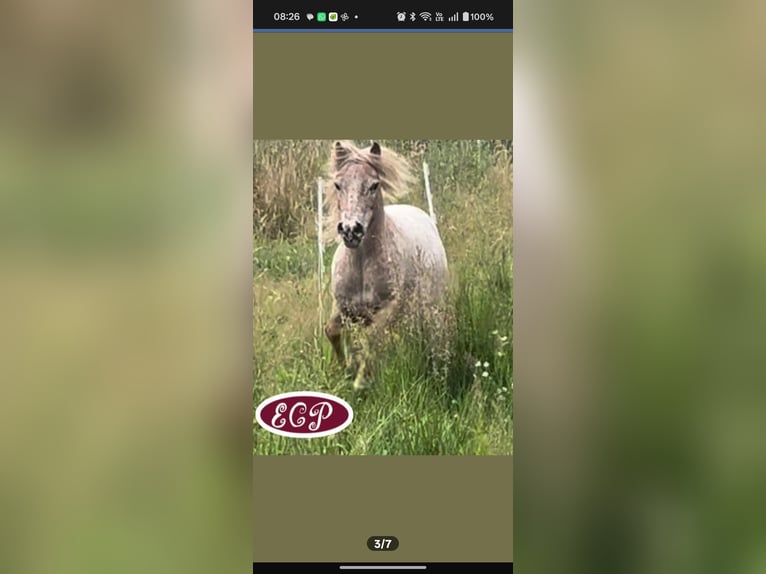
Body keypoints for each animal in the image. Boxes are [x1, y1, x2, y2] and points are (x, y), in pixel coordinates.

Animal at [323, 140, 449, 390]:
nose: (351, 230)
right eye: (338, 185)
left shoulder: (387, 309)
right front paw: (345, 371)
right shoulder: (342, 306)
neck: (361, 265)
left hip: (430, 306)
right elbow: (332, 331)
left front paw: (360, 381)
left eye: (374, 185)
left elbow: (370, 339)